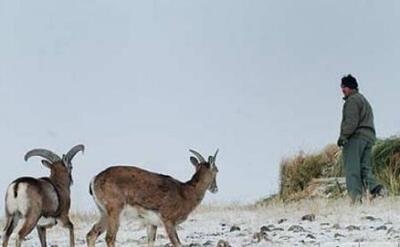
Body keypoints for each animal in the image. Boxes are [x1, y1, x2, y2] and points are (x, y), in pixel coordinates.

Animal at [86, 150, 220, 246]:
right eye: (217, 170)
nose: (215, 189)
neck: (186, 194)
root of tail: (93, 180)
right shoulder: (168, 219)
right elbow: (177, 243)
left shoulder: (151, 223)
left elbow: (150, 242)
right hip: (115, 208)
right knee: (109, 237)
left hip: (103, 211)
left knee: (91, 234)